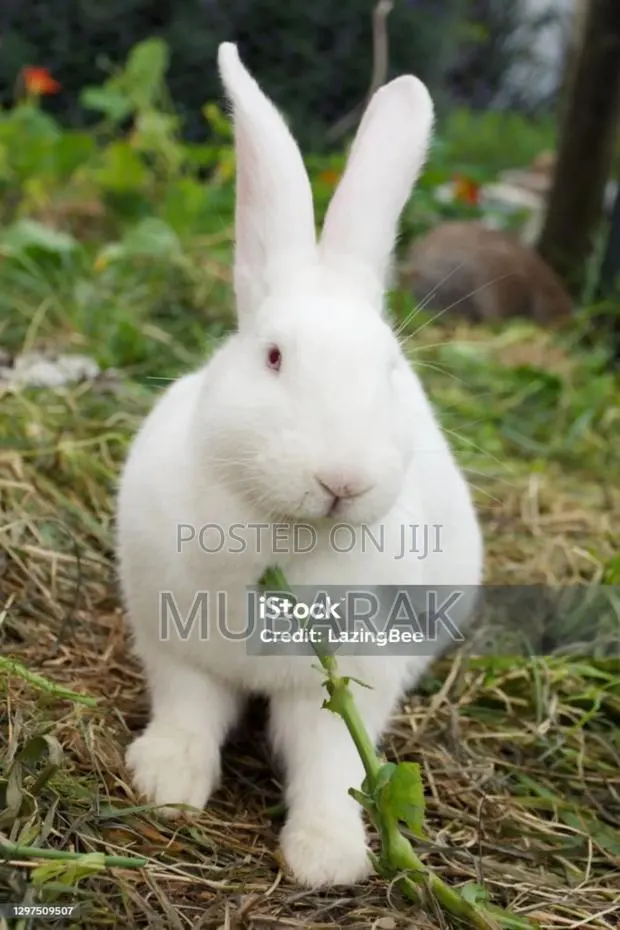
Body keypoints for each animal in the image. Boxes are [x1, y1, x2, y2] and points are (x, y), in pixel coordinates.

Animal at [116, 42, 483, 890]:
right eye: (274, 356)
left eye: (390, 370)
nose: (340, 481)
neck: (283, 536)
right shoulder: (177, 649)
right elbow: (188, 710)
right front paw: (166, 781)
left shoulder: (351, 679)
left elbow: (330, 764)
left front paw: (328, 856)